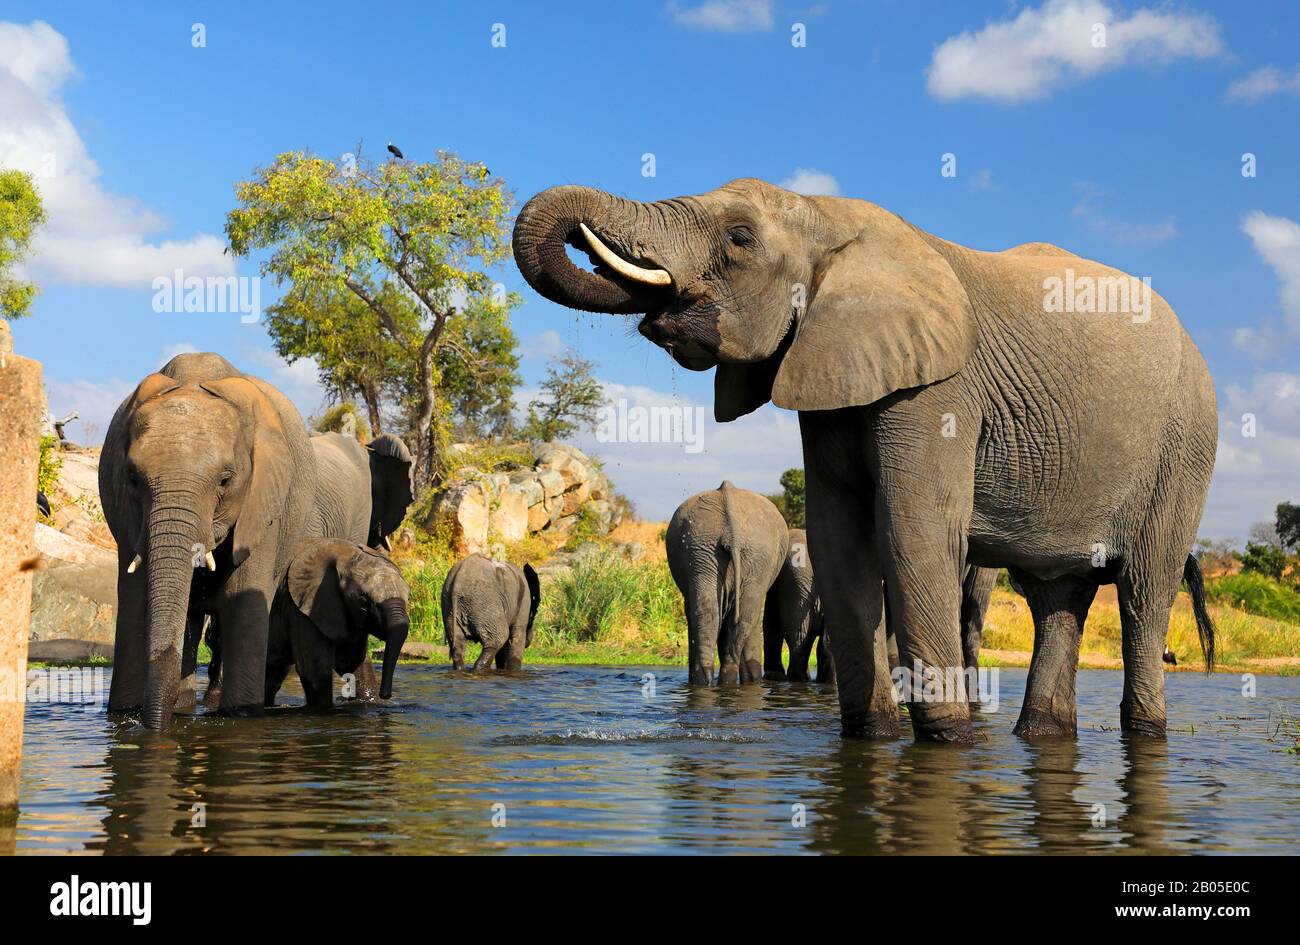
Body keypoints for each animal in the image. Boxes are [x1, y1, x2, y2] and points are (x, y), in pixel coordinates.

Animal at [98, 350, 317, 727]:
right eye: (133, 478)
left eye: (225, 480)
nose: (153, 725)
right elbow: (135, 599)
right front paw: (125, 715)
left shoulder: (263, 498)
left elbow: (243, 599)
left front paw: (239, 714)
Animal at [262, 540, 405, 707]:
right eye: (364, 603)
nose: (385, 695)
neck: (343, 554)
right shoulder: (299, 609)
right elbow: (314, 670)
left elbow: (351, 661)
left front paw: (369, 701)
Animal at [665, 483, 785, 686]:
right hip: (718, 548)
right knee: (738, 617)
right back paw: (718, 682)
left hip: (720, 547)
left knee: (717, 615)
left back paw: (709, 681)